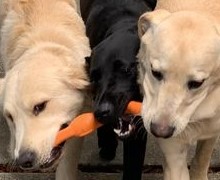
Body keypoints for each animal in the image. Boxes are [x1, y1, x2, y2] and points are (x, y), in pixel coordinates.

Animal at [139, 0, 220, 180]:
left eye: (197, 83)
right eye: (155, 72)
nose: (160, 131)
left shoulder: (211, 132)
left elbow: (201, 161)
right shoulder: (173, 151)